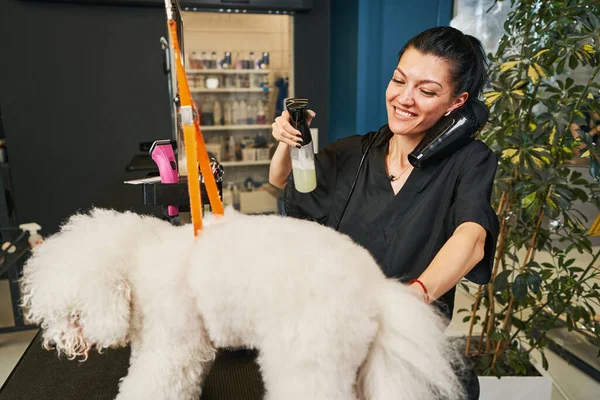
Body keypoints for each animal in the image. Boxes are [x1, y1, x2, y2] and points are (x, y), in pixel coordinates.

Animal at [21, 208, 464, 400]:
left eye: (71, 313)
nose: (52, 343)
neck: (139, 257)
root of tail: (375, 289)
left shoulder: (170, 345)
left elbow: (151, 383)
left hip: (308, 362)